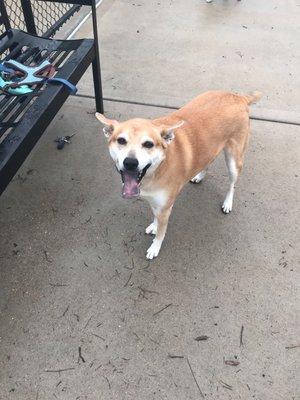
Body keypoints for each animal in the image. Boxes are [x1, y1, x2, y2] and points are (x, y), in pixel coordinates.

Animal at [95, 90, 260, 260]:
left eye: (148, 144)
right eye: (121, 140)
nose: (130, 162)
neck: (157, 170)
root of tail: (238, 95)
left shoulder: (165, 207)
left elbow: (161, 233)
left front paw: (155, 247)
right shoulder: (157, 202)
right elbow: (155, 216)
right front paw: (154, 226)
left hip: (234, 161)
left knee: (232, 184)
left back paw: (228, 203)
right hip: (210, 148)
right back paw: (199, 176)